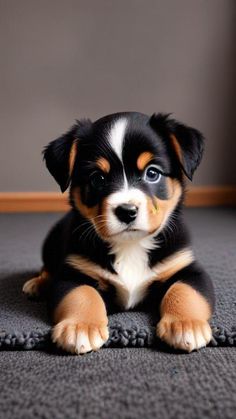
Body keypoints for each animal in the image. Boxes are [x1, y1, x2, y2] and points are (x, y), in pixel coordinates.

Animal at [23, 112, 215, 354]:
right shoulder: (71, 273)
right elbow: (81, 294)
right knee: (47, 268)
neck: (131, 245)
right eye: (98, 178)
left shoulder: (187, 268)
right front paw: (80, 328)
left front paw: (185, 325)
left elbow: (184, 291)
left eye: (152, 173)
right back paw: (37, 284)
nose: (127, 211)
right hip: (51, 242)